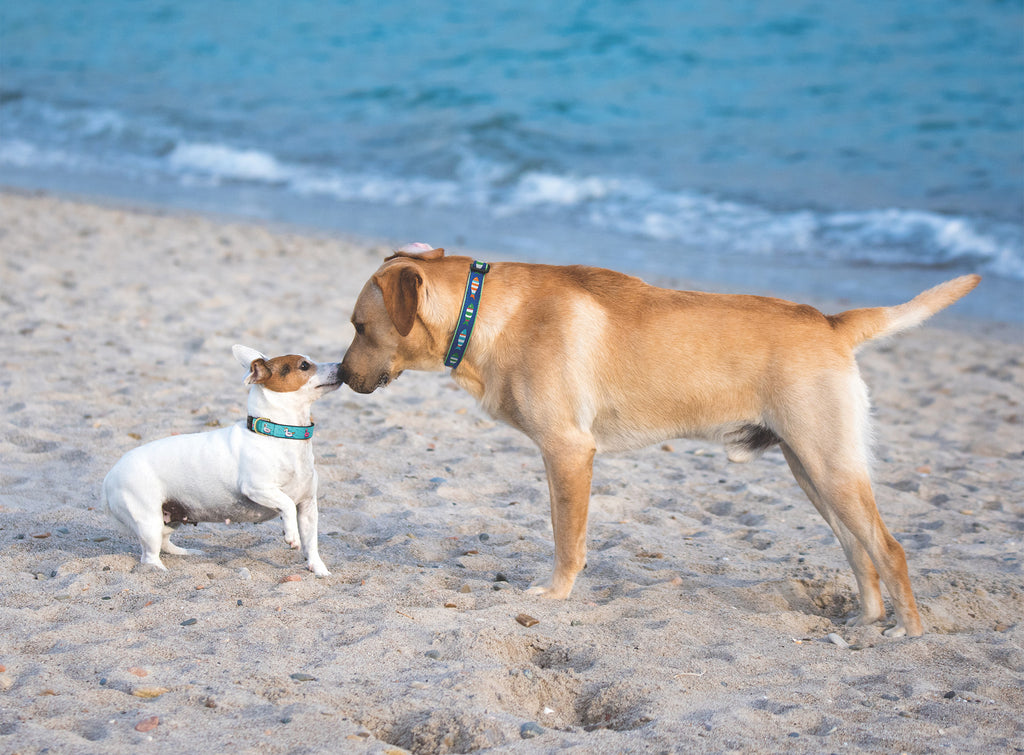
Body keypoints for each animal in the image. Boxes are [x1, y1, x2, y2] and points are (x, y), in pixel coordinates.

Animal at [104, 344, 344, 573]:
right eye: (304, 365)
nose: (342, 366)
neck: (277, 434)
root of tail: (109, 476)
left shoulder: (308, 506)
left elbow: (311, 543)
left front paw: (320, 570)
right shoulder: (258, 488)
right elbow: (287, 505)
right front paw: (291, 535)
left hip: (171, 515)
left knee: (165, 543)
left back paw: (187, 553)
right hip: (148, 520)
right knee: (149, 557)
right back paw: (160, 571)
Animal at [339, 244, 978, 635]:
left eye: (359, 326)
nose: (340, 376)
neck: (484, 312)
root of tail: (830, 323)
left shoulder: (568, 452)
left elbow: (567, 541)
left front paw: (556, 595)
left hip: (830, 466)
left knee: (889, 549)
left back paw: (908, 635)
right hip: (811, 468)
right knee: (857, 549)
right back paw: (868, 622)